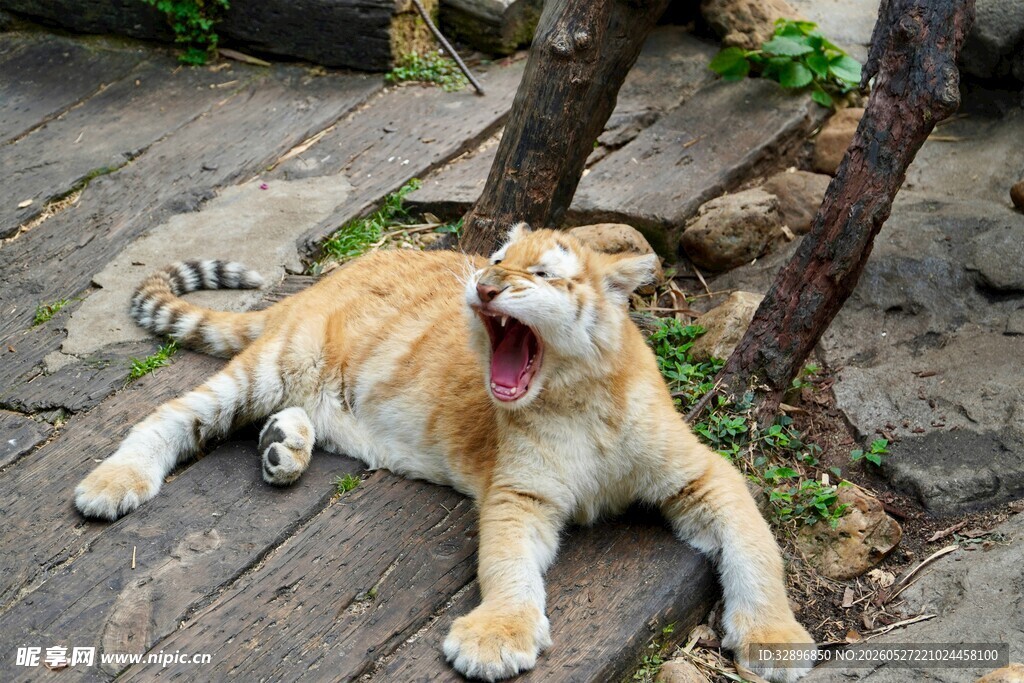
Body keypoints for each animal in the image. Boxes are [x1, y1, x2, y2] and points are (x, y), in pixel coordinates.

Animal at [74, 223, 815, 682]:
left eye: (540, 272)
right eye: (494, 260)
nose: (486, 287)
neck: (575, 393)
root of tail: (319, 284)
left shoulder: (702, 474)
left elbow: (756, 546)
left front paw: (774, 636)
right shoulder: (520, 493)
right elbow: (507, 565)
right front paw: (498, 636)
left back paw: (283, 449)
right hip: (269, 366)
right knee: (165, 416)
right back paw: (113, 483)